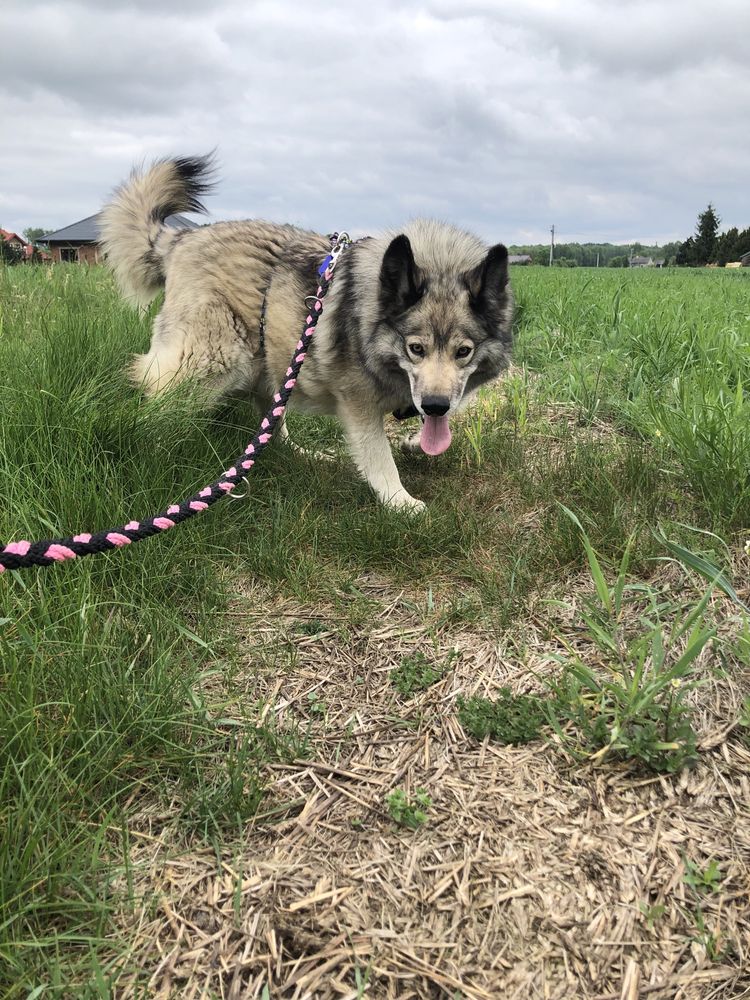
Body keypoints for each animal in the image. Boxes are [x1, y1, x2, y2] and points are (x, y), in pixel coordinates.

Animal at [100, 161, 516, 516]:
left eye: (464, 352)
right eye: (416, 349)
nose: (435, 406)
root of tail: (181, 238)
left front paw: (415, 444)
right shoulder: (359, 405)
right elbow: (380, 459)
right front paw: (401, 502)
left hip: (272, 362)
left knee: (271, 424)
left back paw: (302, 453)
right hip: (219, 355)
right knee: (160, 400)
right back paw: (155, 446)